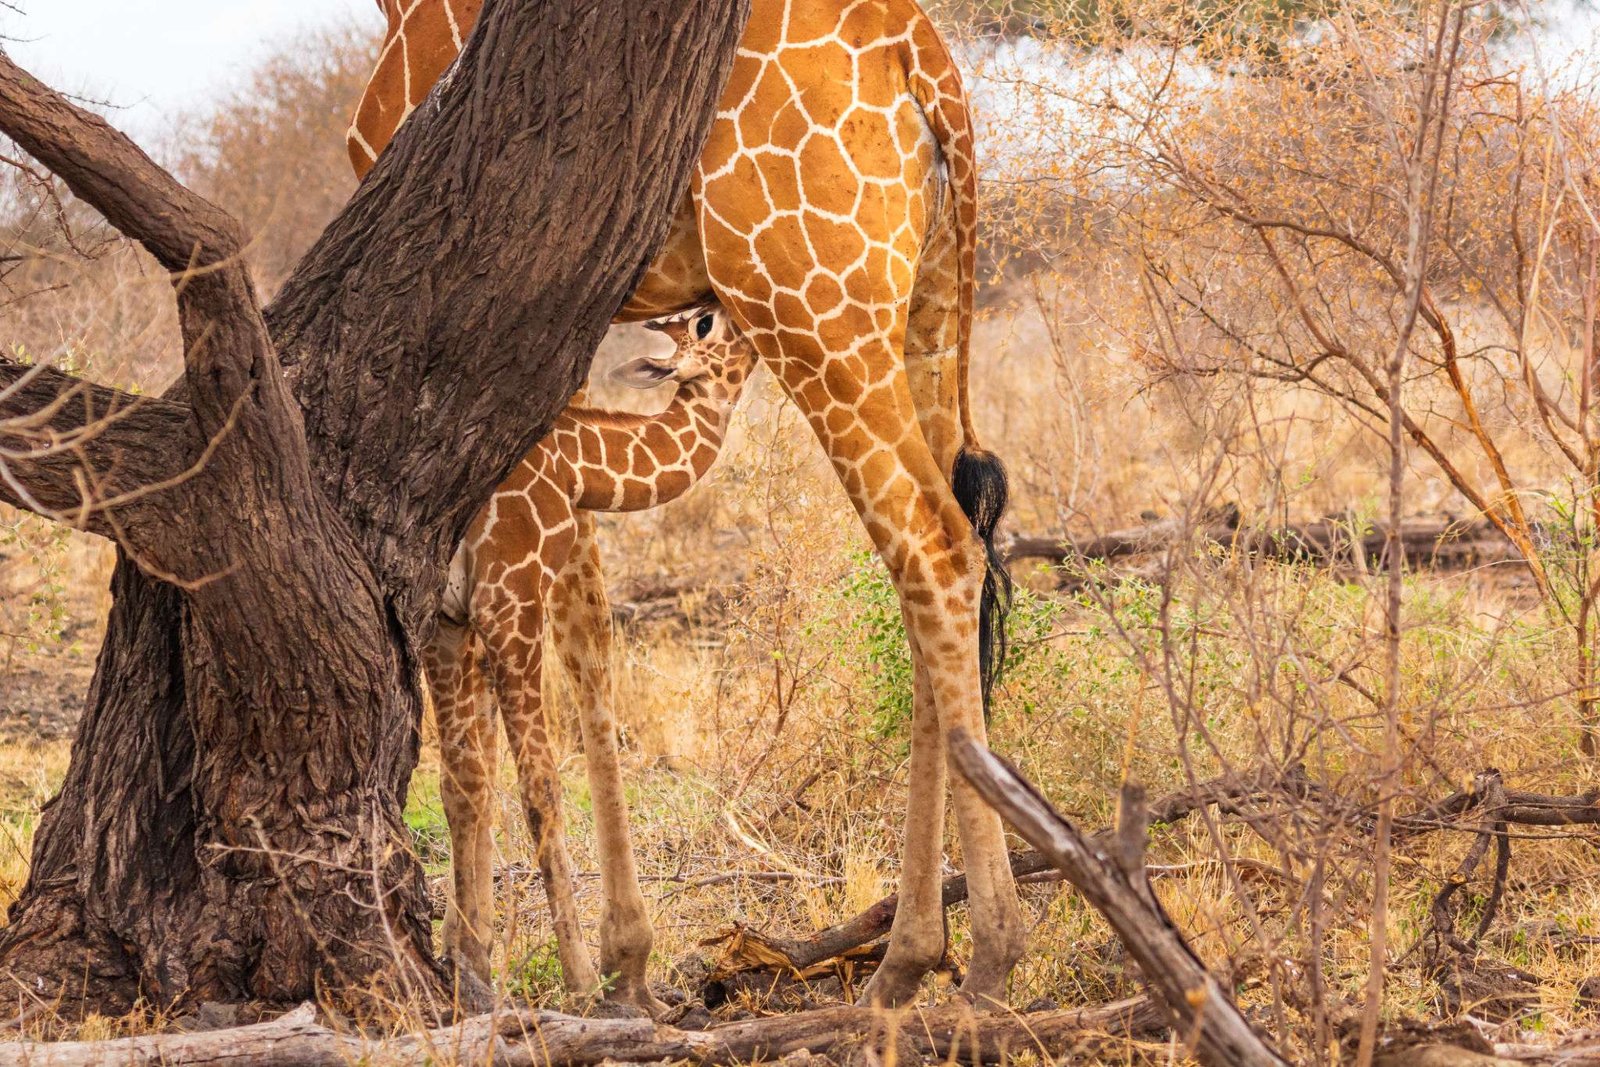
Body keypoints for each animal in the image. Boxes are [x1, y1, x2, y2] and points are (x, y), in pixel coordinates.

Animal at [422, 303, 752, 1017]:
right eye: (705, 323)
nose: (750, 315)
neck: (577, 461)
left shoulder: (449, 620)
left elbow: (464, 784)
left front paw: (470, 969)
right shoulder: (511, 595)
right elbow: (540, 789)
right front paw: (583, 984)